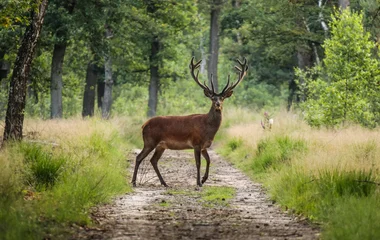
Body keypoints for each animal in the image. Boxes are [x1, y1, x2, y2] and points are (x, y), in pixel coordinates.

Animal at [132, 56, 248, 188]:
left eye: (222, 98)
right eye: (212, 98)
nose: (218, 104)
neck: (207, 129)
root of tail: (144, 125)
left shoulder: (204, 146)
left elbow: (209, 160)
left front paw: (203, 179)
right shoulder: (196, 143)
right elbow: (198, 163)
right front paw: (198, 183)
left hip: (161, 145)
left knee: (153, 160)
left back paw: (164, 183)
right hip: (150, 141)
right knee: (139, 157)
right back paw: (134, 182)